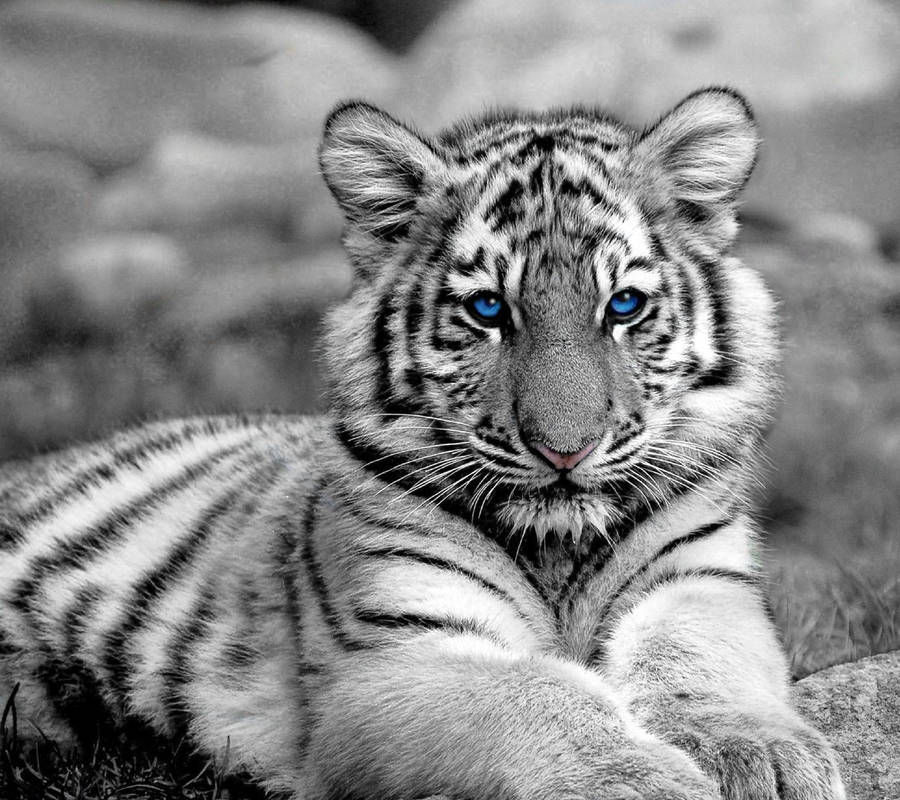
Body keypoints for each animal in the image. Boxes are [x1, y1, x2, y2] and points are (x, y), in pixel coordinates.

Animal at [0, 87, 844, 800]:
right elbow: (534, 695)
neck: (558, 549)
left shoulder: (701, 584)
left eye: (625, 306)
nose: (565, 451)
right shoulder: (393, 659)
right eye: (488, 310)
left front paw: (763, 754)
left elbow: (699, 661)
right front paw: (640, 781)